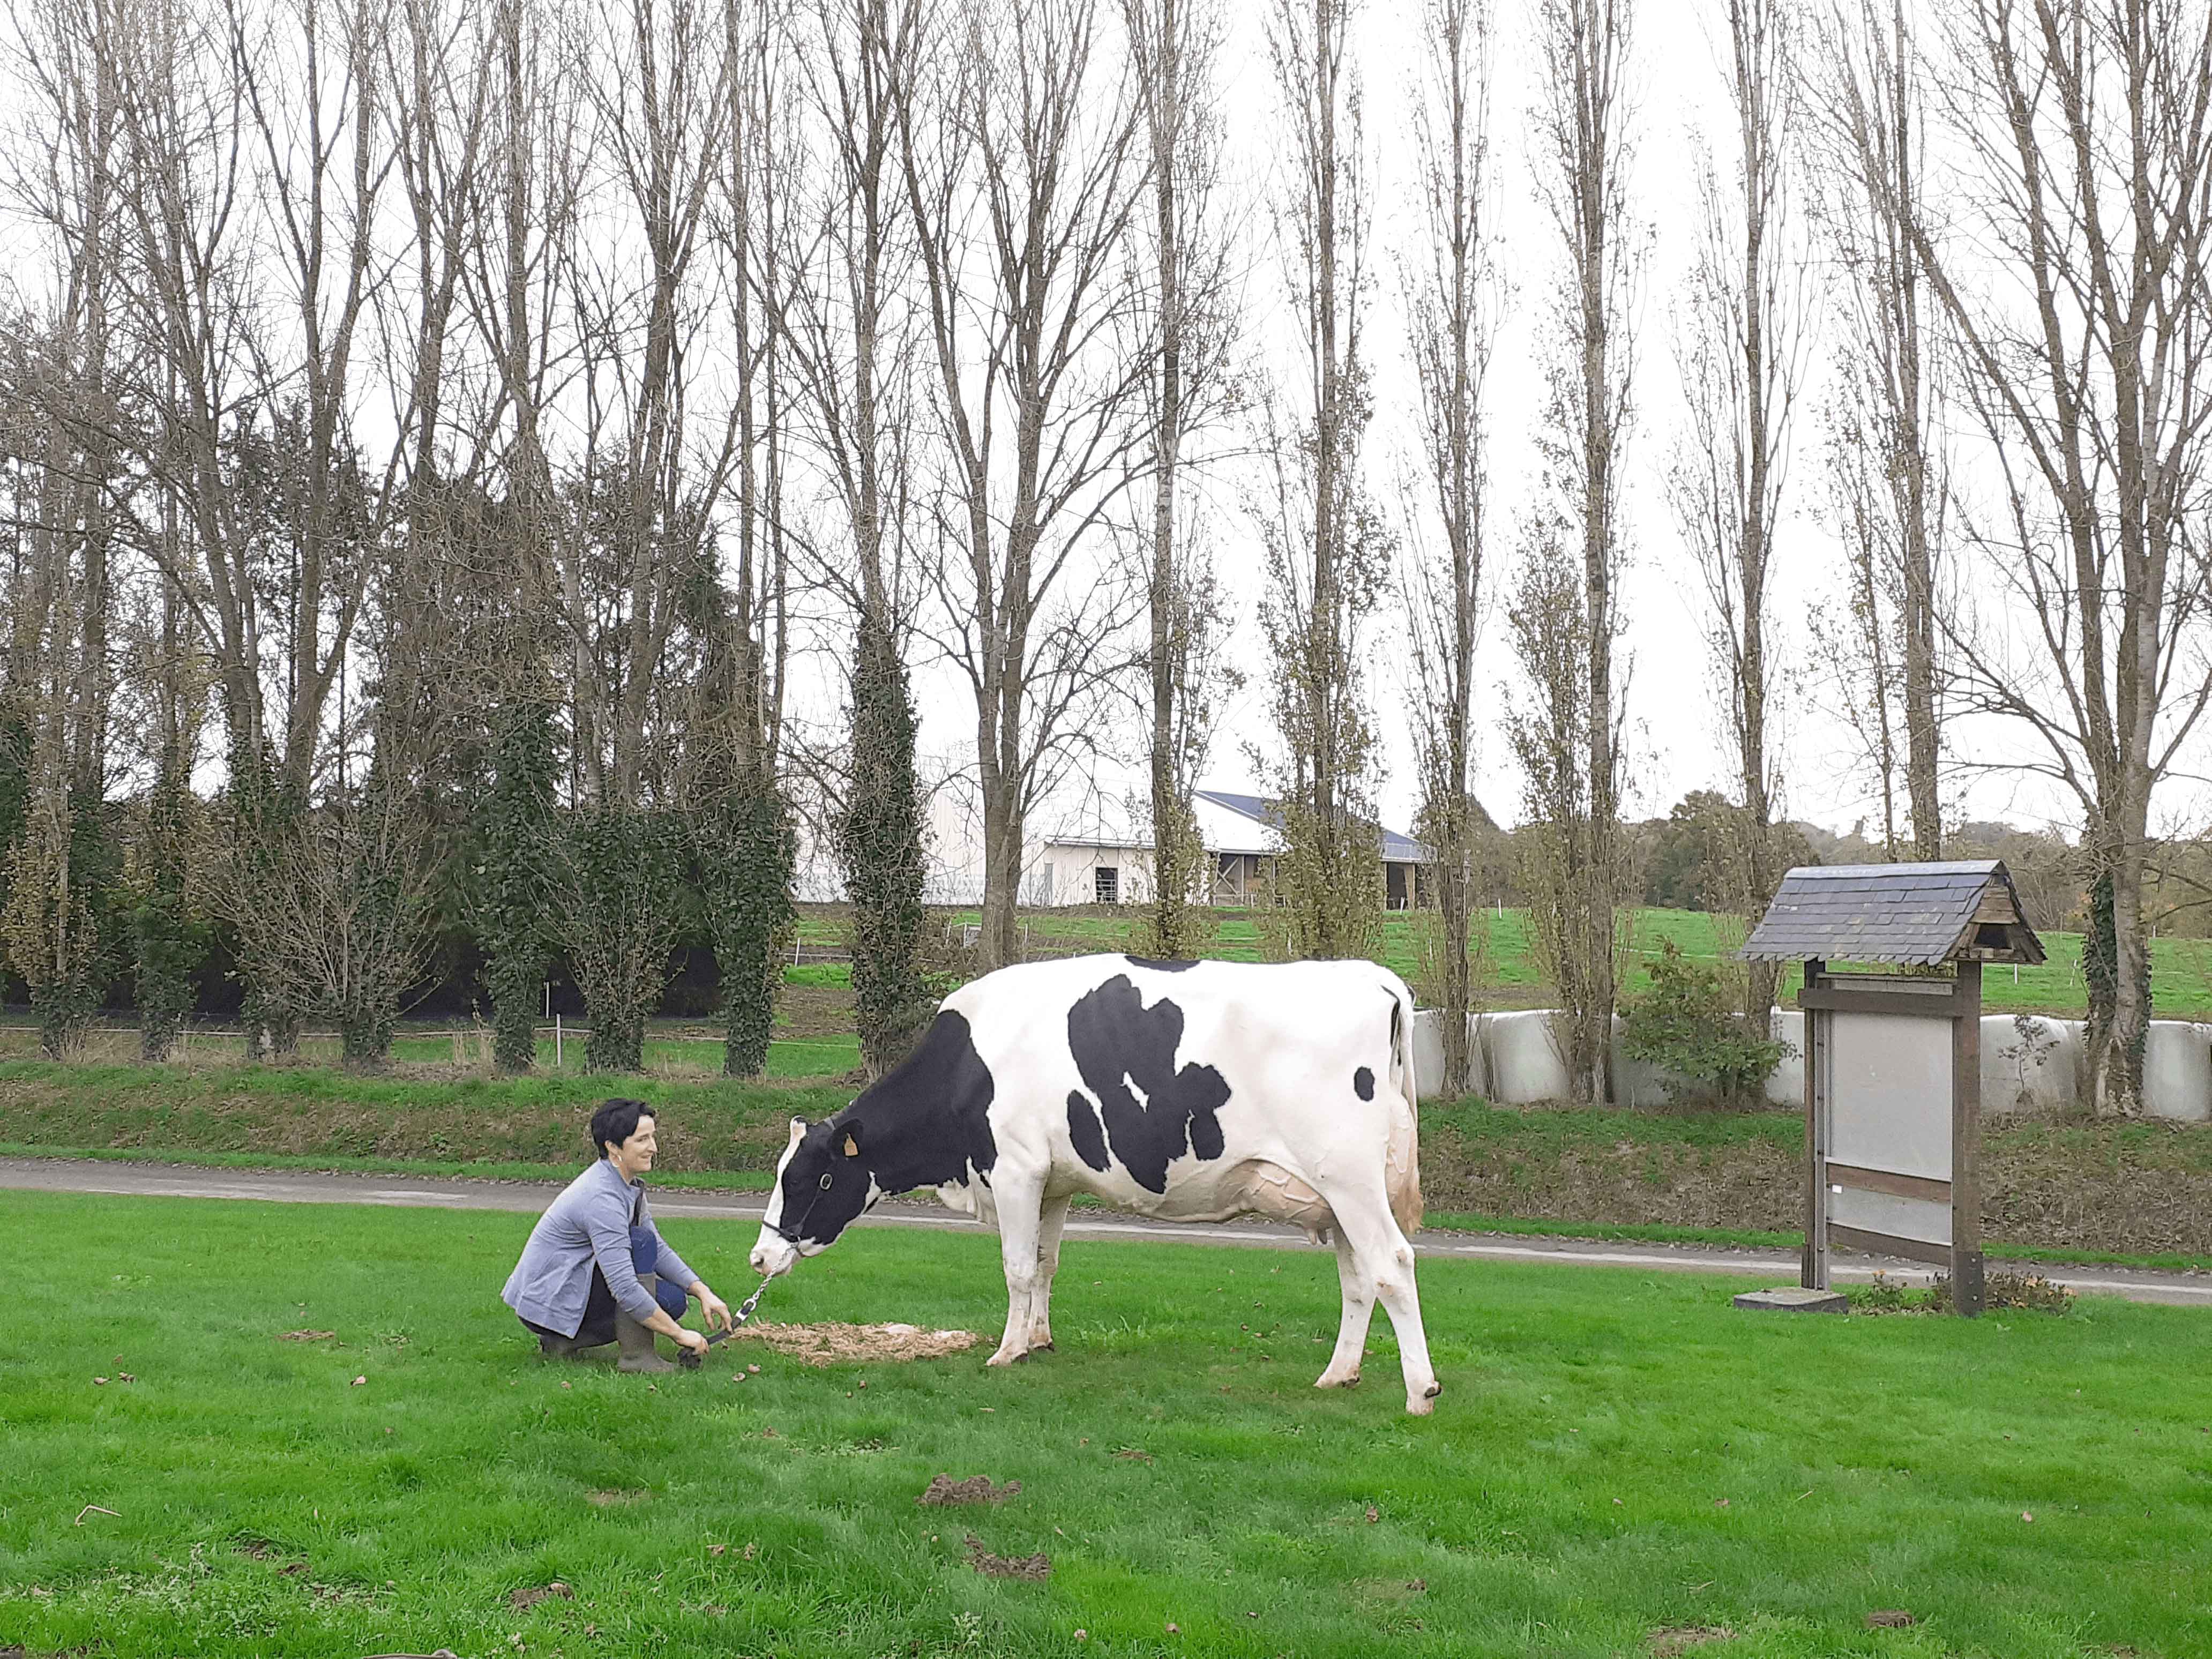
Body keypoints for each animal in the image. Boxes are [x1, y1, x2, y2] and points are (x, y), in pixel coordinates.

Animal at [752, 960, 1442, 1415]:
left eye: (812, 1177)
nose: (760, 1256)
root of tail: (1373, 978)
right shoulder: (1053, 1183)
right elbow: (1045, 1262)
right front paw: (1039, 1339)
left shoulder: (1016, 1170)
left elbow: (1016, 1267)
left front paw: (1006, 1352)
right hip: (1340, 1195)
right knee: (1359, 1279)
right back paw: (1338, 1376)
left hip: (1349, 1179)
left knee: (1392, 1264)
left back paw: (1420, 1391)